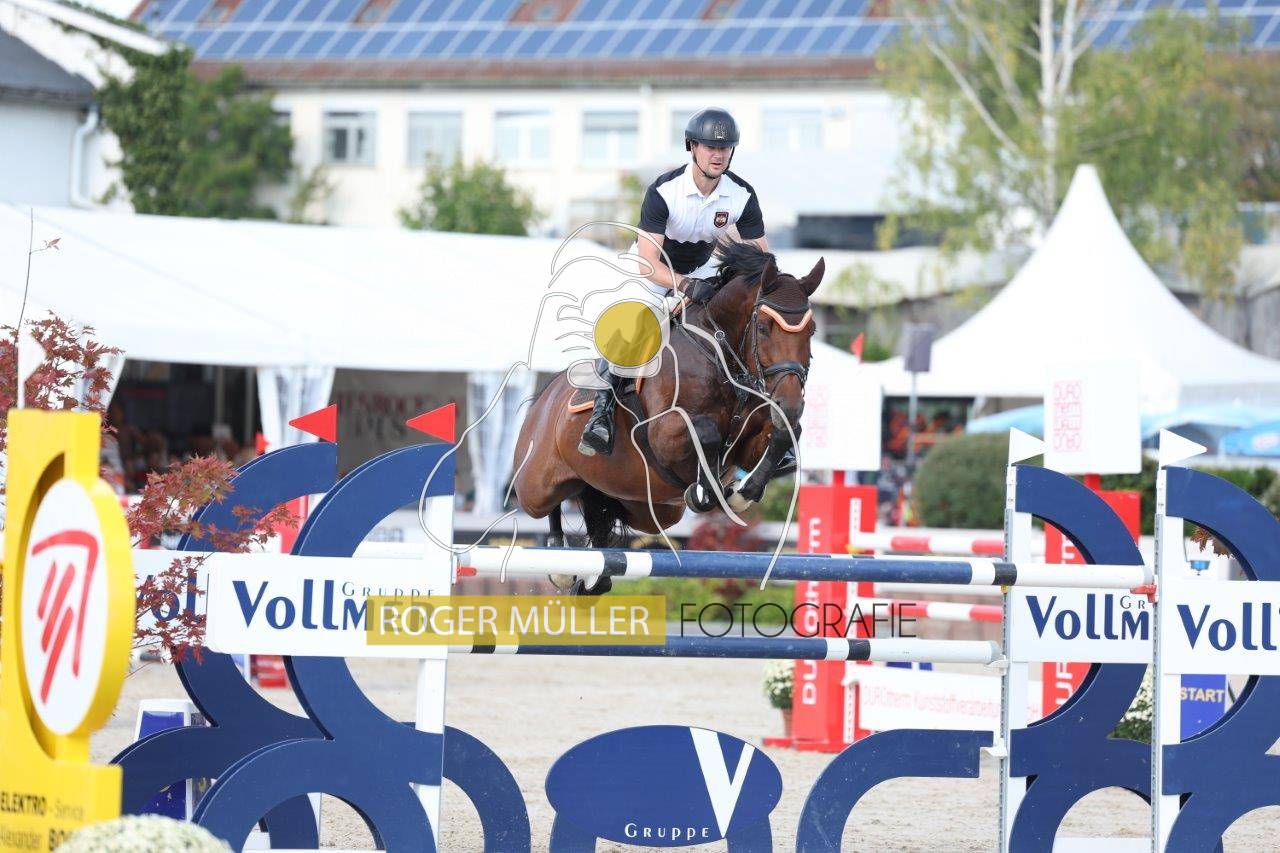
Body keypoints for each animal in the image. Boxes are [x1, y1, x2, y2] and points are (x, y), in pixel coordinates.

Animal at [512, 242, 824, 593]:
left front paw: (741, 493)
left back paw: (594, 577)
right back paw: (561, 560)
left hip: (648, 509)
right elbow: (706, 433)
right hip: (535, 486)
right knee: (546, 504)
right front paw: (705, 491)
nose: (789, 403)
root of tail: (545, 396)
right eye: (762, 328)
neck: (721, 357)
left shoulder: (750, 444)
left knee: (600, 524)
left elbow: (784, 434)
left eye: (811, 331)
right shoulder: (663, 433)